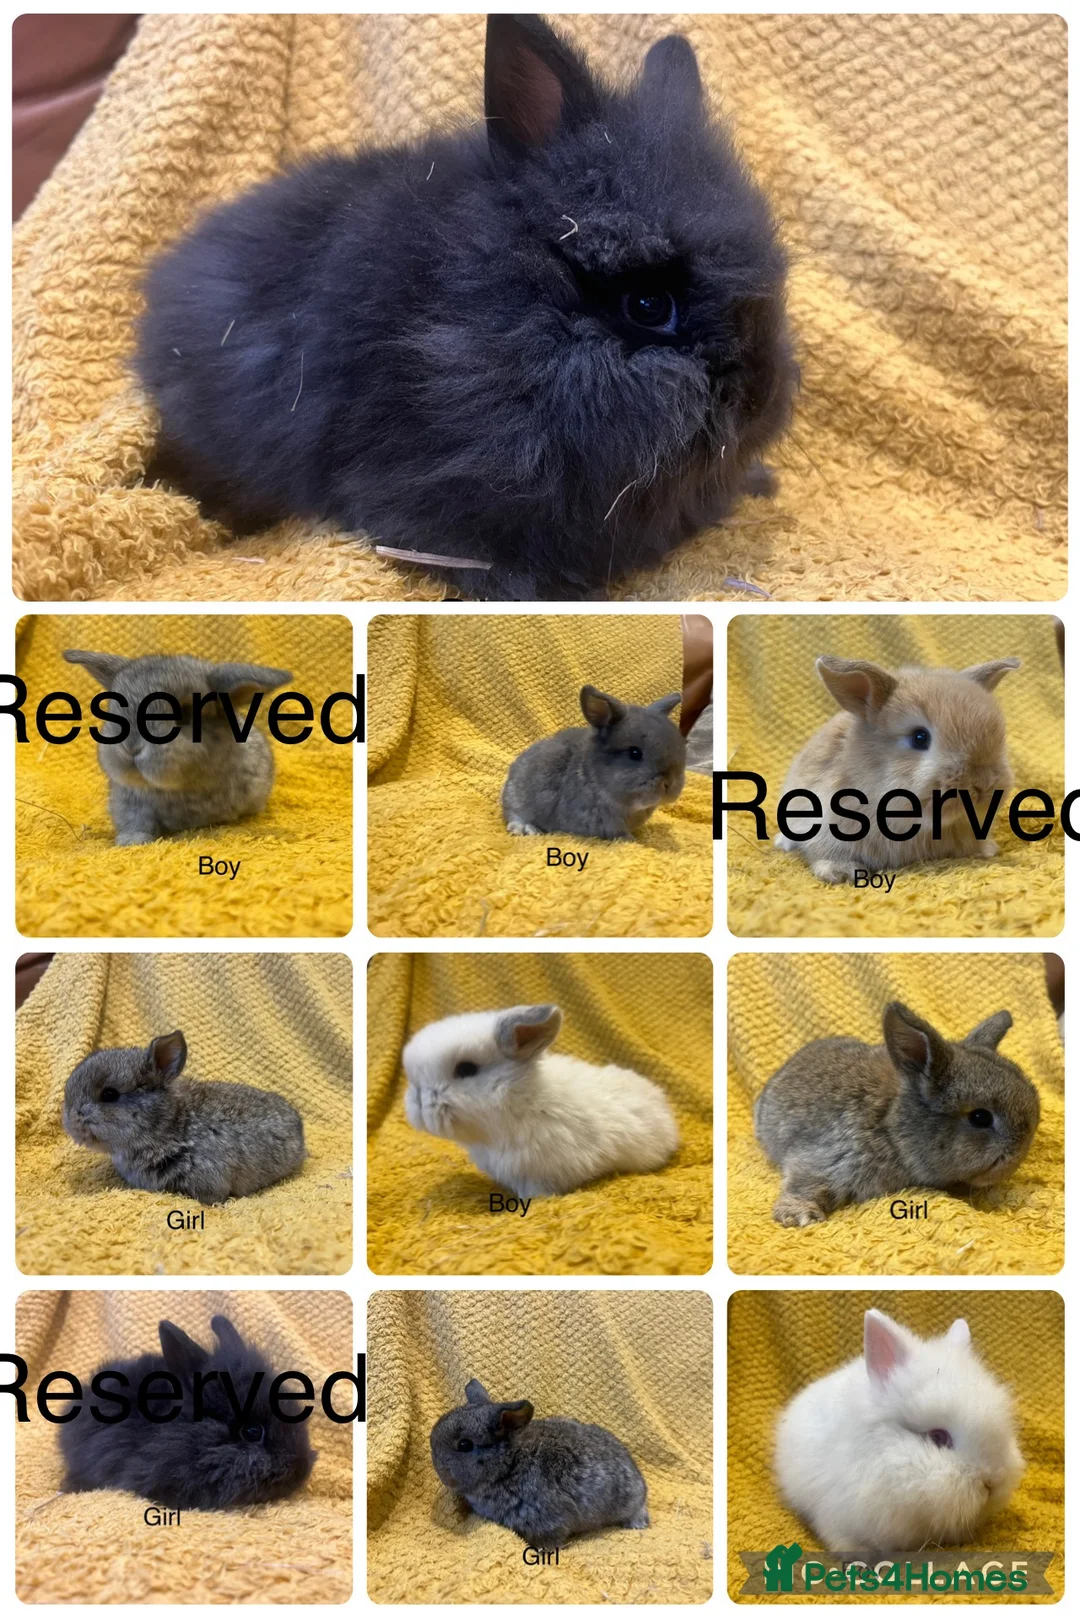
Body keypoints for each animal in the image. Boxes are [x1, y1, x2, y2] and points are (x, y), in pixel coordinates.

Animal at [62, 649, 292, 846]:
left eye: (186, 713)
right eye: (113, 709)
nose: (131, 748)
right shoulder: (128, 803)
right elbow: (135, 823)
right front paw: (131, 842)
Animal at [754, 1002, 1040, 1227]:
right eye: (980, 1118)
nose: (1020, 1150)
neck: (891, 1126)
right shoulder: (827, 1159)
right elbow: (806, 1183)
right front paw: (800, 1216)